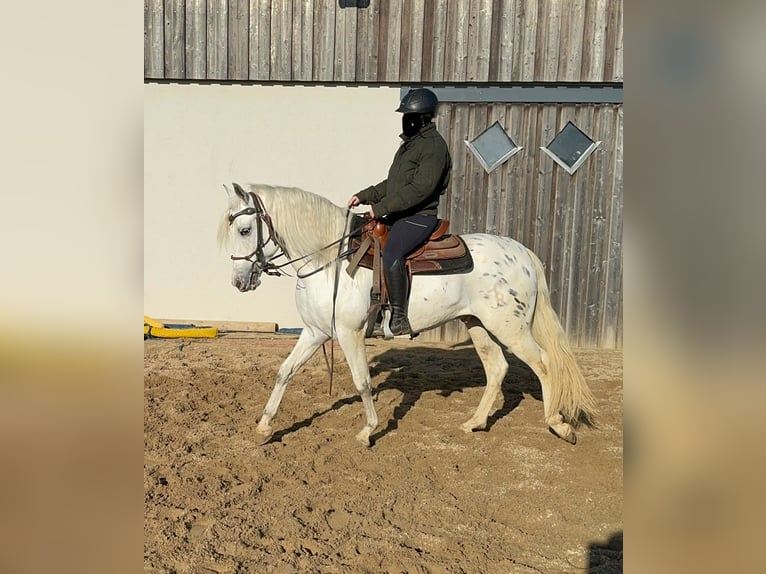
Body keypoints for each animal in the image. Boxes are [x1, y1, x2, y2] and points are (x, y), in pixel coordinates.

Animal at [219, 182, 596, 448]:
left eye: (244, 230)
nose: (238, 281)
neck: (329, 262)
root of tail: (522, 253)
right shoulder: (315, 332)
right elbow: (285, 372)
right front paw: (265, 427)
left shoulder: (350, 333)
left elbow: (362, 382)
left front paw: (368, 431)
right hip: (479, 325)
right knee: (498, 368)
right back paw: (474, 422)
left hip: (511, 328)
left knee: (544, 364)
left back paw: (559, 424)